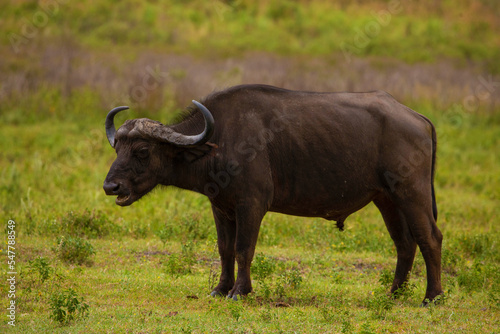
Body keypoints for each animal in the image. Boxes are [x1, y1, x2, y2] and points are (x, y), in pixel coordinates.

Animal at [103, 83, 444, 302]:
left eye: (143, 150)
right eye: (117, 147)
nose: (111, 186)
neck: (221, 140)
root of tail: (419, 120)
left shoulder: (251, 205)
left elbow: (244, 248)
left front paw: (239, 292)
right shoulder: (220, 207)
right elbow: (225, 249)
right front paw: (220, 289)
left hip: (412, 193)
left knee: (430, 237)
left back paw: (432, 297)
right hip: (386, 198)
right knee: (404, 243)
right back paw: (394, 294)